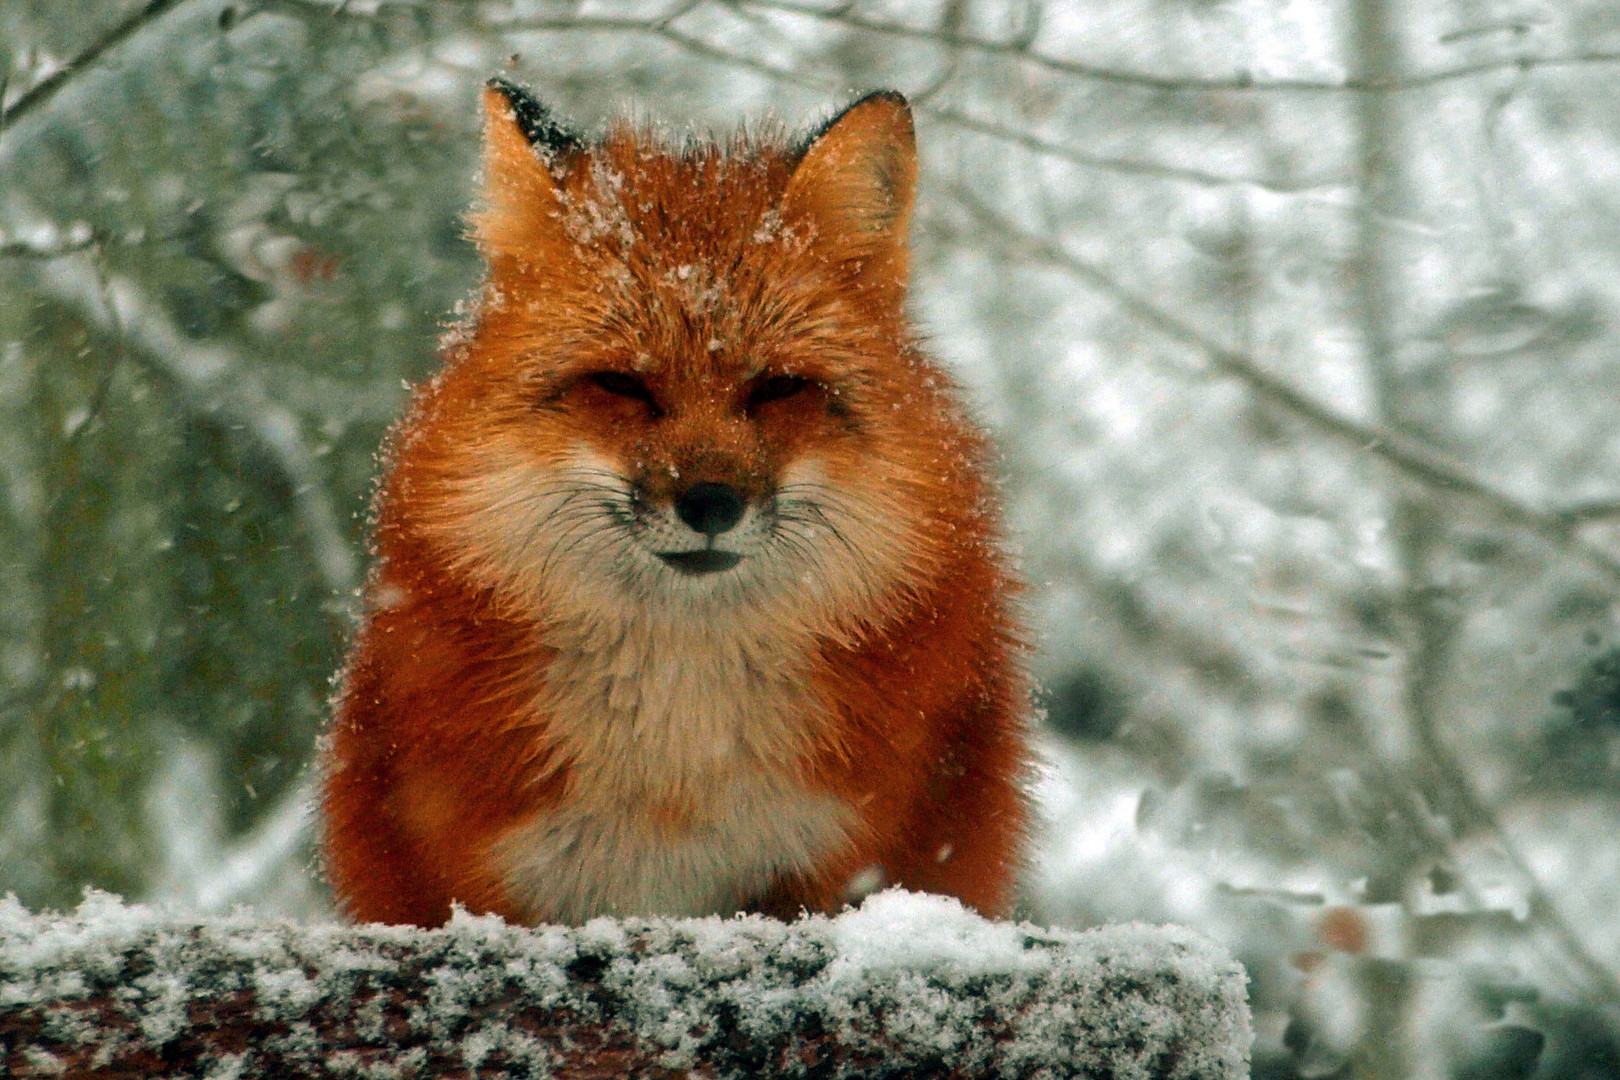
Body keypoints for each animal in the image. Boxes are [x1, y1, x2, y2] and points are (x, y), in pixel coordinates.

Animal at [317, 82, 1030, 932]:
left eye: (777, 388)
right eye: (622, 385)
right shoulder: (487, 879)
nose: (711, 502)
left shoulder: (834, 864)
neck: (680, 752)